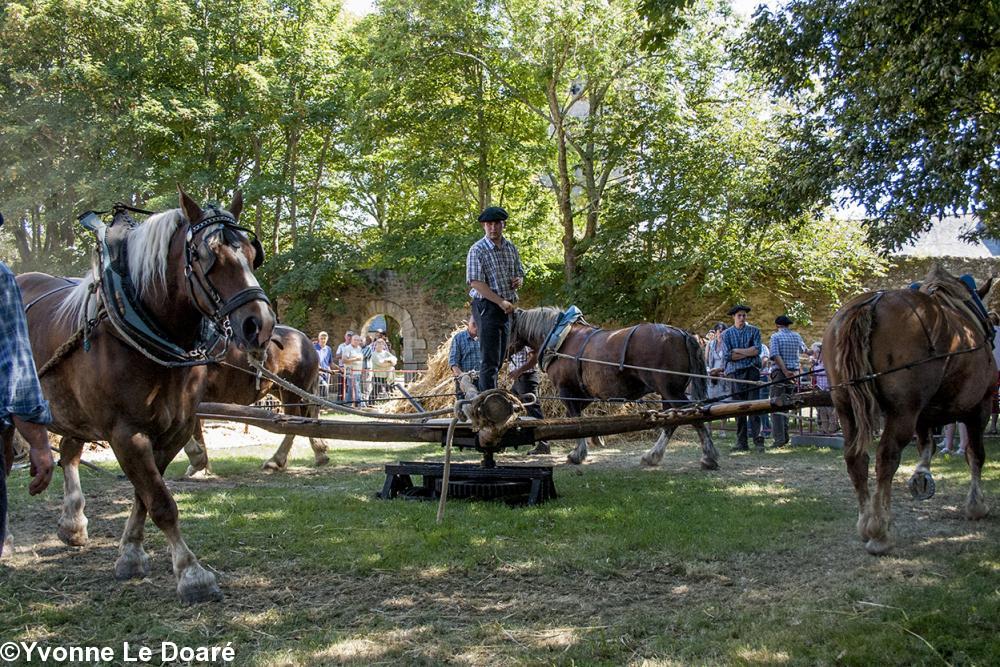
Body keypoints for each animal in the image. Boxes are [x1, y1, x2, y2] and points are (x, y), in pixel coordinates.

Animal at [12, 190, 278, 604]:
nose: (260, 325)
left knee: (69, 452)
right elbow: (161, 502)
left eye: (252, 253)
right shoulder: (126, 432)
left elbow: (144, 494)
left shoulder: (174, 430)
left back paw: (73, 522)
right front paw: (192, 574)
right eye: (208, 256)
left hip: (73, 410)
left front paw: (131, 555)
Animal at [182, 324, 330, 474]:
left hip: (290, 391)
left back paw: (276, 460)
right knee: (307, 414)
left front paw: (198, 461)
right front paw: (203, 464)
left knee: (293, 421)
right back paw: (320, 452)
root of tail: (307, 342)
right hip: (281, 388)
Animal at [508, 308, 720, 470]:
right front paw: (596, 437)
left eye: (508, 327)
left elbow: (575, 417)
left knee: (691, 416)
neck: (562, 338)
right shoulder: (585, 393)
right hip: (668, 393)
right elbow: (579, 417)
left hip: (670, 390)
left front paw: (577, 454)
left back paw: (708, 457)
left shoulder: (566, 389)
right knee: (672, 421)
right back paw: (653, 456)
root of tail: (682, 334)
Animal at [824, 268, 996, 556]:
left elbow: (927, 444)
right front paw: (976, 505)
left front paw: (922, 475)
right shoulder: (980, 406)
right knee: (886, 457)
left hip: (846, 407)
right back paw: (880, 531)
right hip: (903, 410)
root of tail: (871, 303)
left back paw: (866, 522)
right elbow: (975, 455)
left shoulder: (924, 414)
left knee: (855, 458)